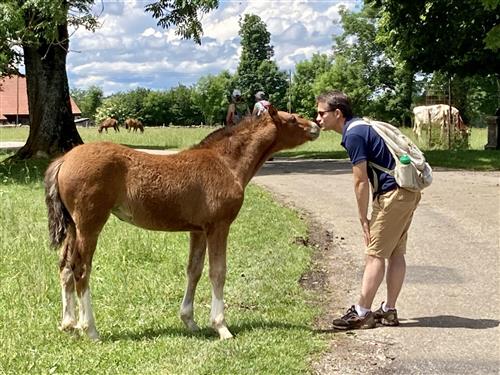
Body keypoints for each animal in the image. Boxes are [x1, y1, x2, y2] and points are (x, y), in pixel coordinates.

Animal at [46, 107, 320, 342]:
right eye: (292, 119)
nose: (316, 125)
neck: (225, 163)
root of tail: (64, 160)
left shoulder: (197, 230)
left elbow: (194, 270)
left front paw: (189, 320)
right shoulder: (218, 226)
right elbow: (217, 272)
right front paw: (221, 327)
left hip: (73, 226)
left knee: (65, 266)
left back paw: (68, 324)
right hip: (89, 224)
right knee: (81, 269)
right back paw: (90, 329)